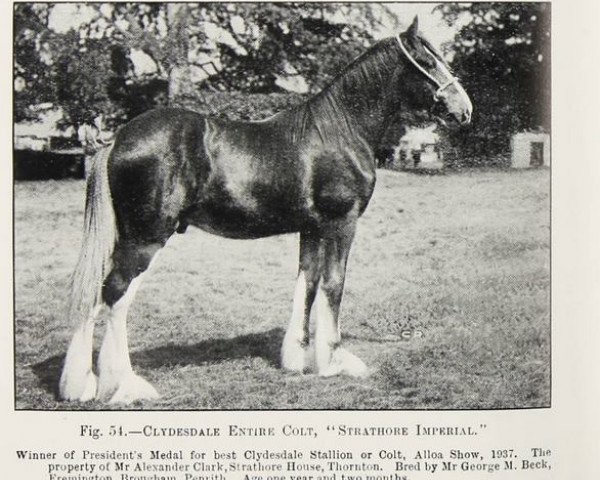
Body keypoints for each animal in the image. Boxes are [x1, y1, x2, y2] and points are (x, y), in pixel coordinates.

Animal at [61, 16, 474, 404]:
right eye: (427, 61)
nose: (464, 110)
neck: (339, 130)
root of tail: (116, 140)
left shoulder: (312, 228)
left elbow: (307, 283)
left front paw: (299, 358)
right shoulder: (341, 224)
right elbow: (334, 284)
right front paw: (334, 360)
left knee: (100, 294)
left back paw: (82, 385)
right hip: (146, 238)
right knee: (115, 294)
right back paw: (123, 386)